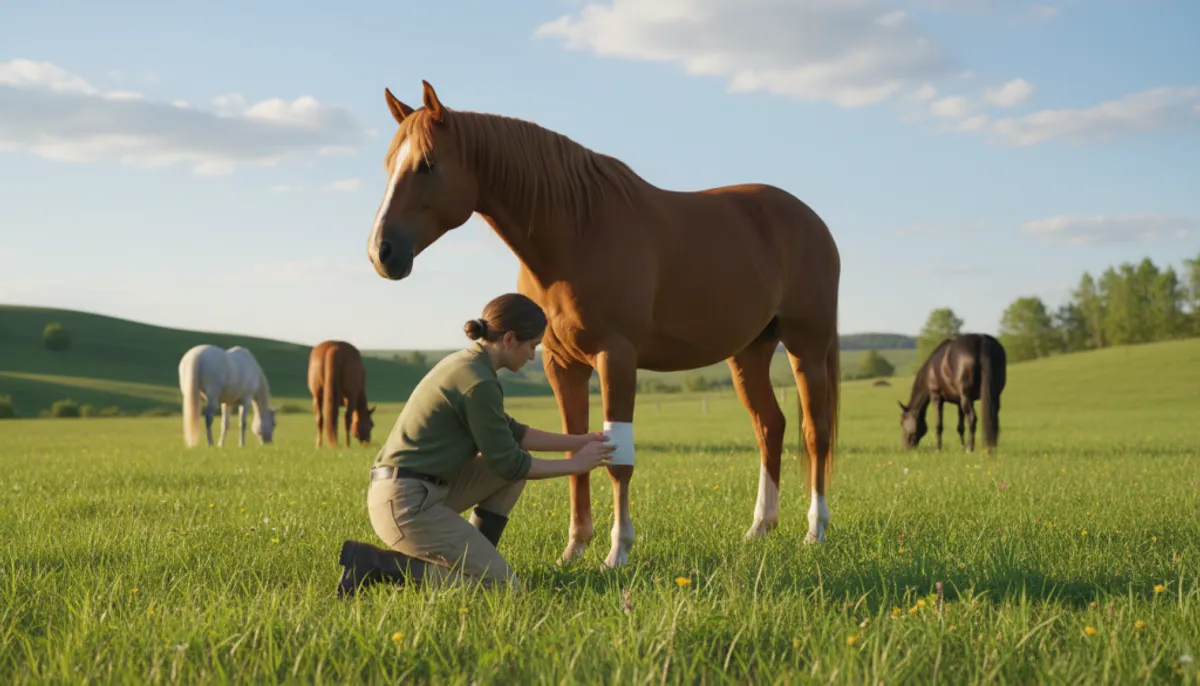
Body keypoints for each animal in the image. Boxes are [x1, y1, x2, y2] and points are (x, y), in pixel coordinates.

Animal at [364, 81, 841, 568]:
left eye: (427, 164)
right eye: (389, 163)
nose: (382, 252)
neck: (578, 232)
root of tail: (812, 221)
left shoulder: (617, 358)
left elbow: (619, 459)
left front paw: (618, 551)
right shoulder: (562, 365)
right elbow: (576, 448)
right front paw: (574, 547)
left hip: (806, 345)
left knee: (815, 431)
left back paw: (815, 530)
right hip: (748, 352)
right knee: (770, 427)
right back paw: (760, 527)